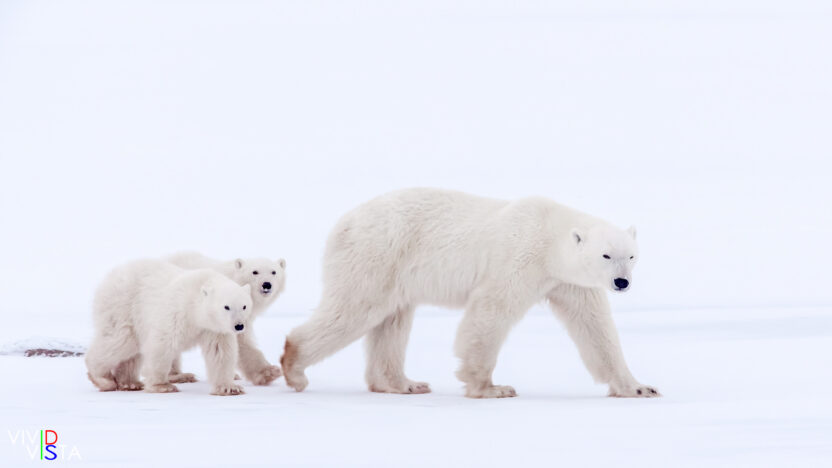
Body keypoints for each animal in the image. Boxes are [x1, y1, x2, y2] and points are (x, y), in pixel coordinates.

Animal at [85, 259, 253, 396]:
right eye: (226, 306)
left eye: (244, 306)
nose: (239, 325)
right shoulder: (178, 312)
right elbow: (163, 343)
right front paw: (162, 386)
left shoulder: (215, 328)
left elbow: (220, 352)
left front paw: (229, 388)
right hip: (122, 307)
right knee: (121, 341)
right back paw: (102, 379)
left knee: (130, 352)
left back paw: (129, 383)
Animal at [166, 252, 286, 386]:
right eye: (254, 272)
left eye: (274, 272)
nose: (266, 284)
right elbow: (240, 341)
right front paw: (268, 372)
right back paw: (178, 376)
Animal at [281, 188, 659, 399]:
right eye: (606, 255)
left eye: (631, 255)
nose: (621, 283)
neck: (550, 236)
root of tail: (343, 223)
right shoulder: (520, 258)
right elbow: (491, 310)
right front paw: (491, 388)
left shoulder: (568, 281)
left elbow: (595, 329)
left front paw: (639, 387)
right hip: (378, 253)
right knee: (355, 308)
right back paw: (294, 367)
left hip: (393, 269)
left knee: (392, 321)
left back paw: (405, 384)